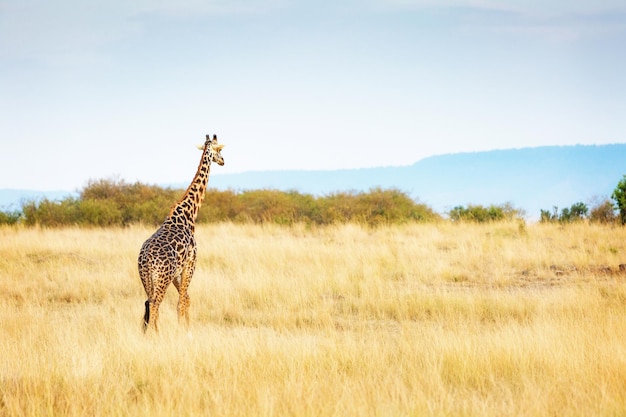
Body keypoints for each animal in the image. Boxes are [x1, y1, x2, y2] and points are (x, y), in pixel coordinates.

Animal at [138, 133, 225, 332]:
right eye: (219, 150)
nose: (223, 161)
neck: (189, 213)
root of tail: (146, 260)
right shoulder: (191, 263)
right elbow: (182, 301)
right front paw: (184, 330)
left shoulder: (178, 271)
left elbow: (186, 299)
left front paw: (186, 327)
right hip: (162, 278)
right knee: (155, 304)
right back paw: (157, 334)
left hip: (147, 278)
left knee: (149, 303)